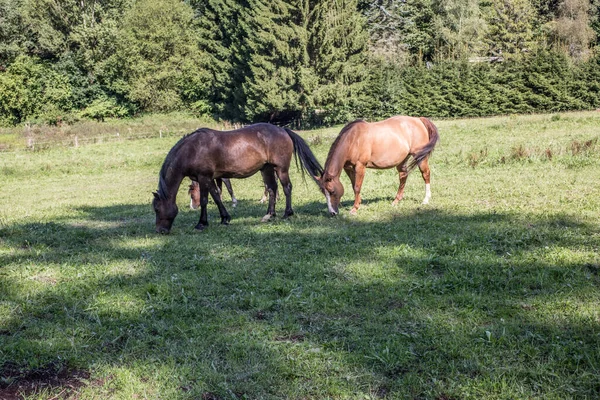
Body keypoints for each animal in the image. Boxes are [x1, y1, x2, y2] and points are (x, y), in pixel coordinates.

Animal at [154, 123, 324, 233]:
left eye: (157, 209)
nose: (160, 231)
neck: (193, 149)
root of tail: (283, 130)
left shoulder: (204, 178)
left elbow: (204, 200)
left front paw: (201, 224)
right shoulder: (210, 178)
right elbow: (217, 197)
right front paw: (225, 218)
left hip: (280, 169)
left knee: (286, 187)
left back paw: (287, 213)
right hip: (266, 169)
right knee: (272, 189)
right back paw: (269, 215)